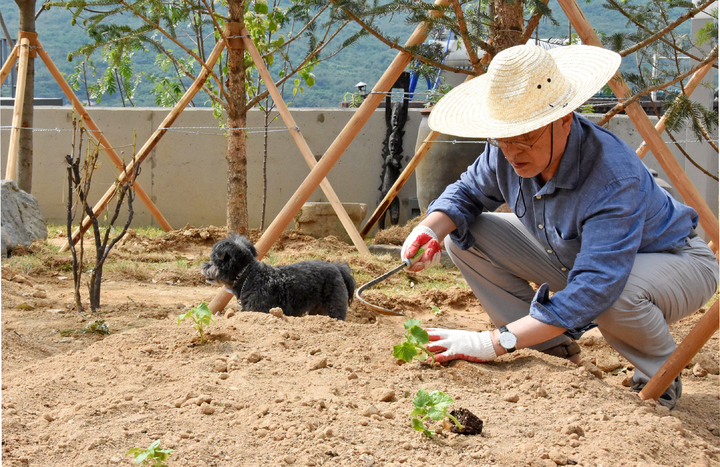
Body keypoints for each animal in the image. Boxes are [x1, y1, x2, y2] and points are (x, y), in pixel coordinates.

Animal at [201, 234, 356, 322]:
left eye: (212, 260)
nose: (203, 266)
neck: (248, 276)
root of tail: (337, 268)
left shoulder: (259, 310)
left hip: (333, 308)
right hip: (317, 310)